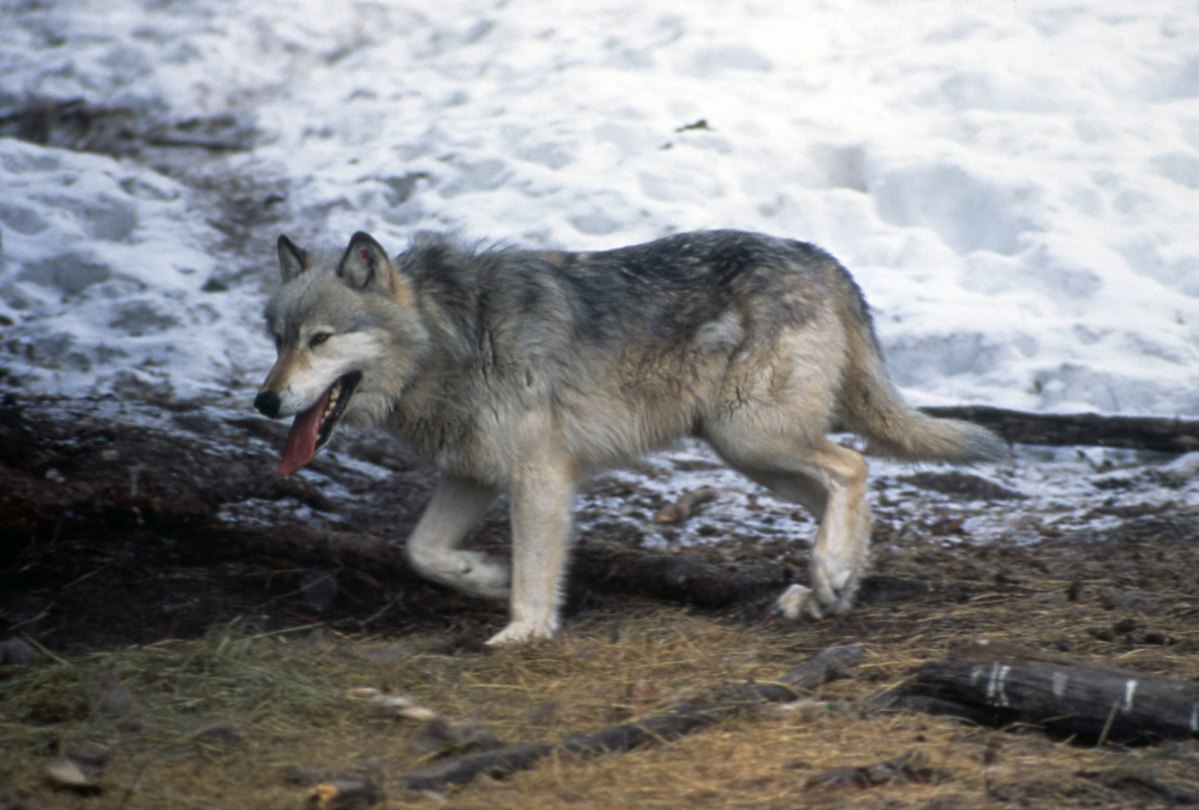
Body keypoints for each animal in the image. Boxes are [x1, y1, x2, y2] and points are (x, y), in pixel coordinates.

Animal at [253, 229, 1005, 645]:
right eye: (278, 339)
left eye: (320, 340)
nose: (265, 401)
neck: (450, 338)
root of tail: (818, 256)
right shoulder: (470, 475)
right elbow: (422, 552)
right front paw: (486, 579)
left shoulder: (540, 476)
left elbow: (535, 572)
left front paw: (524, 631)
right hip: (749, 452)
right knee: (844, 491)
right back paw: (827, 589)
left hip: (751, 437)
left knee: (853, 467)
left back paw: (829, 576)